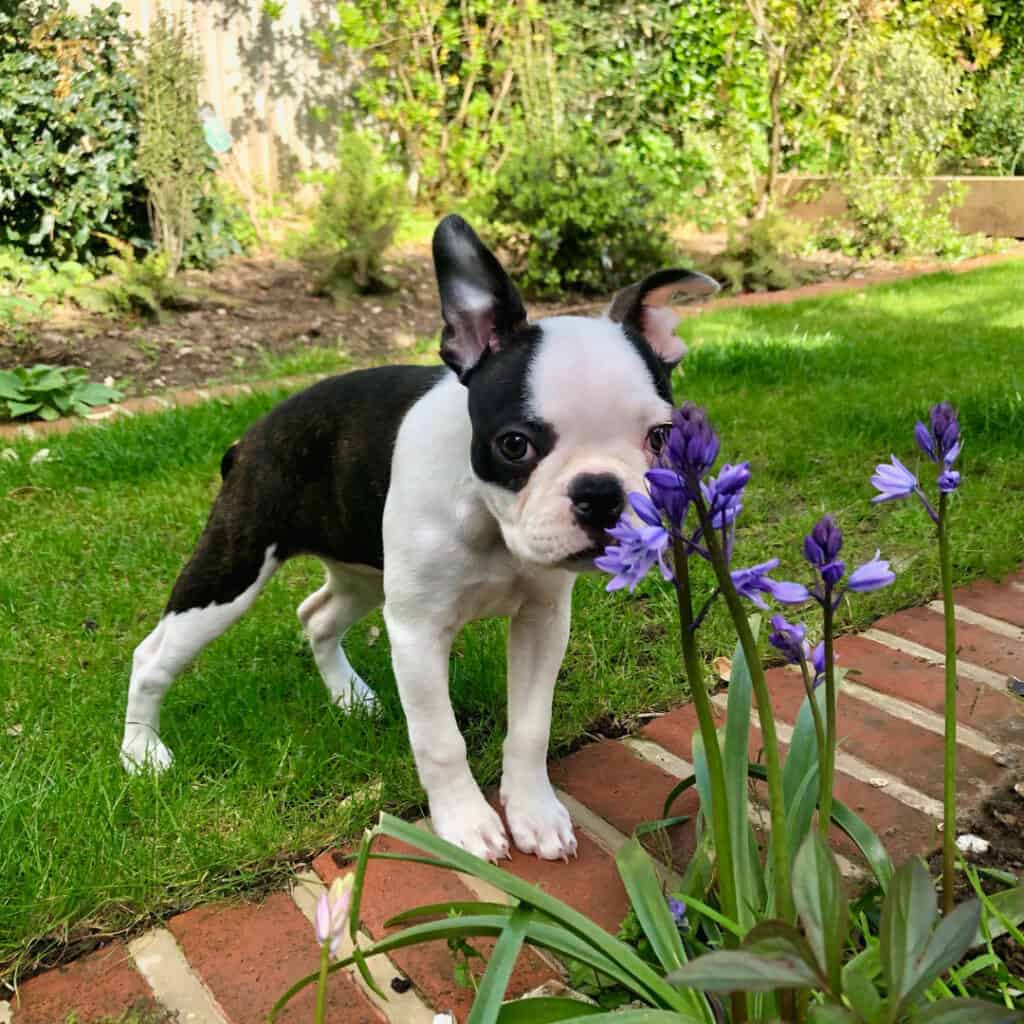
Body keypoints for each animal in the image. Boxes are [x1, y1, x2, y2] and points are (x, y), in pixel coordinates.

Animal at [119, 218, 716, 864]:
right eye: (514, 445)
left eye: (661, 436)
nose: (602, 493)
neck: (490, 522)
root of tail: (250, 436)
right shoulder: (417, 634)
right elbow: (440, 740)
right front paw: (467, 824)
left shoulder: (542, 622)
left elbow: (531, 727)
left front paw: (533, 812)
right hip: (231, 572)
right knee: (152, 655)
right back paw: (142, 753)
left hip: (364, 573)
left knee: (316, 614)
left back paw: (349, 697)